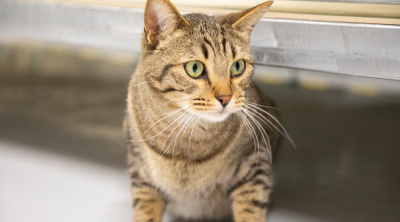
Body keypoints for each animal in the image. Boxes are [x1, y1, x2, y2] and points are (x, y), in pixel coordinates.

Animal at [124, 0, 284, 221]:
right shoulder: (140, 171)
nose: (226, 98)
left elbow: (250, 211)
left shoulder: (255, 165)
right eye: (194, 68)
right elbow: (145, 210)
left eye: (237, 66)